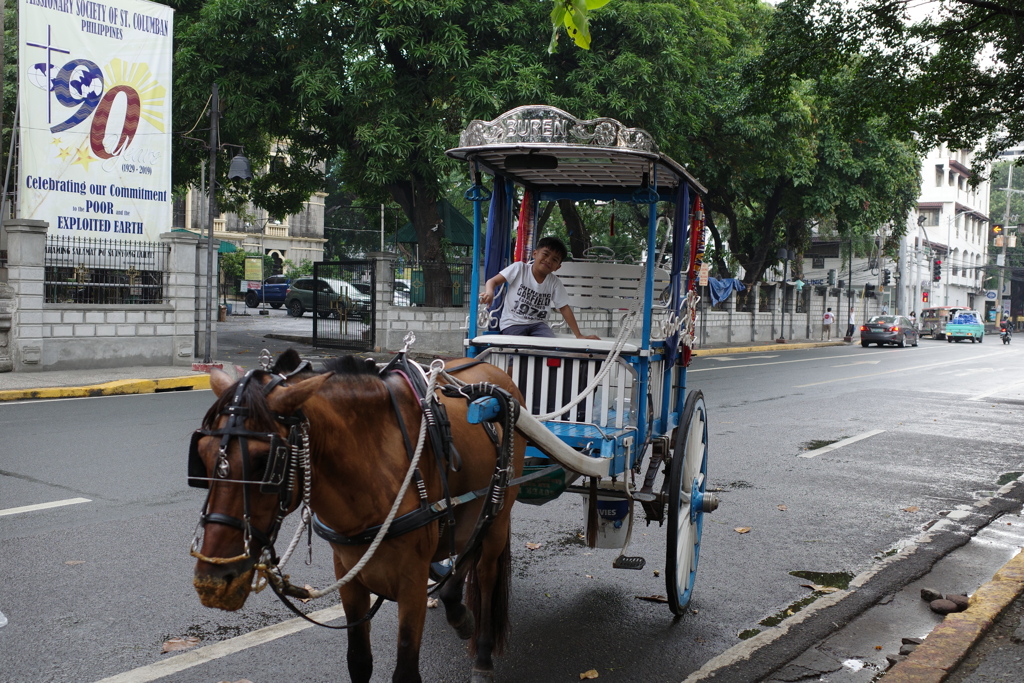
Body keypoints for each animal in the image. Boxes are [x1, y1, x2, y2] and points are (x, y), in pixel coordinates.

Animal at [190, 352, 528, 683]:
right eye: (202, 454)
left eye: (266, 462)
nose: (212, 583)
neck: (375, 460)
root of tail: (495, 370)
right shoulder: (348, 574)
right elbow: (359, 661)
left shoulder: (412, 583)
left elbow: (405, 672)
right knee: (467, 548)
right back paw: (456, 609)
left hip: (499, 513)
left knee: (485, 571)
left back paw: (482, 656)